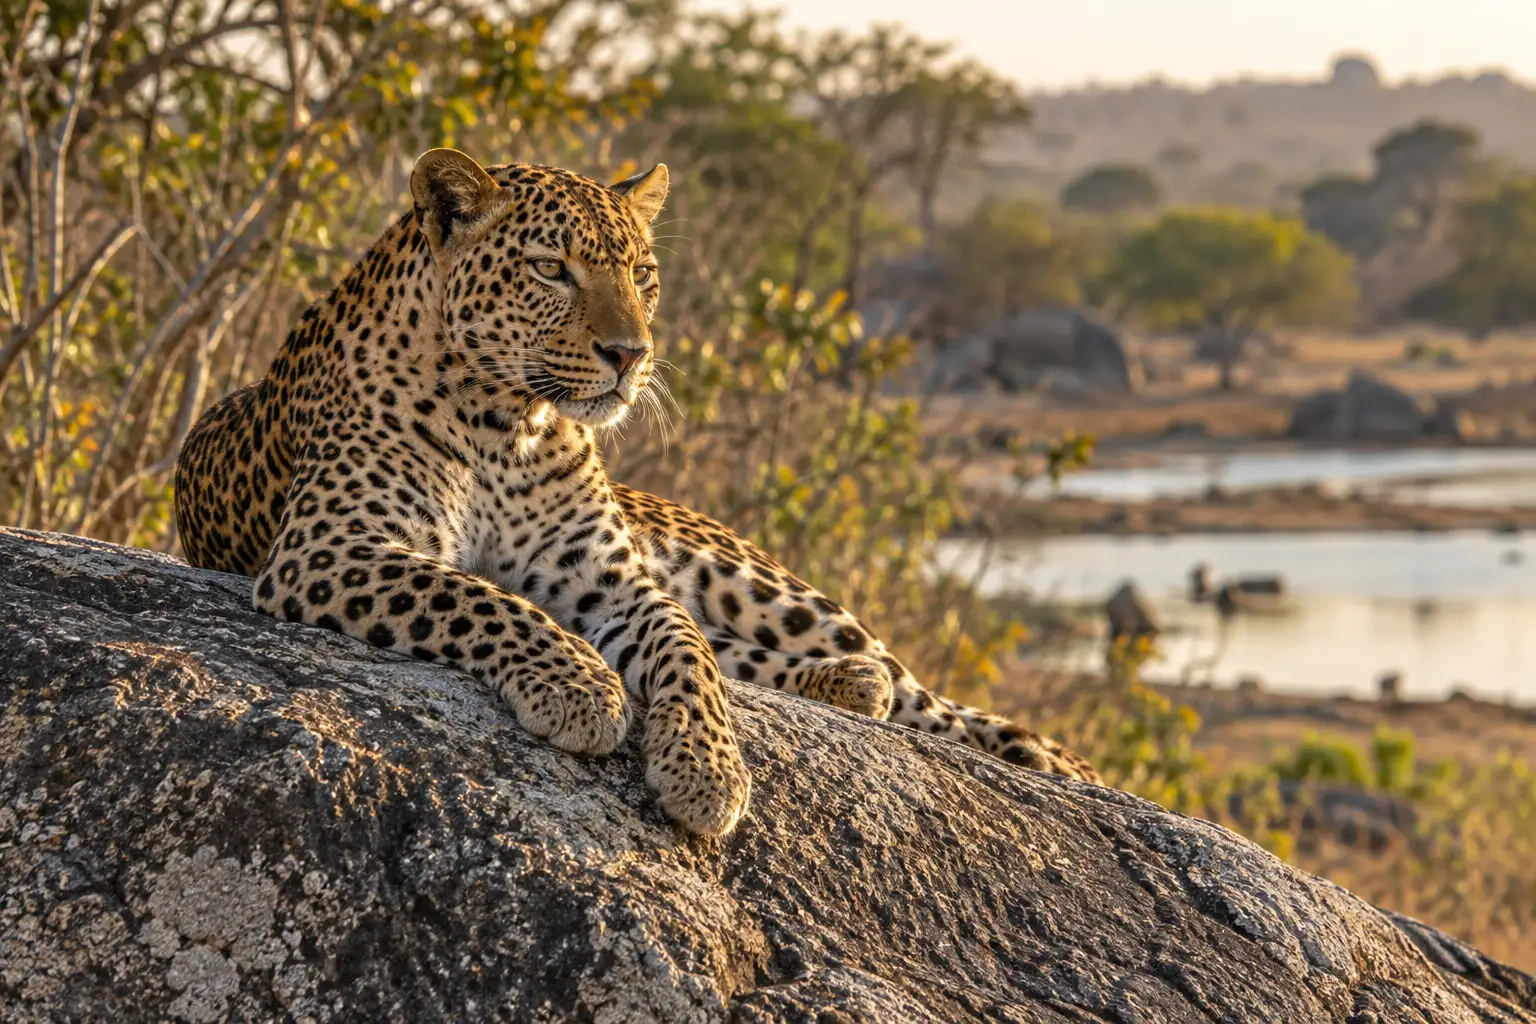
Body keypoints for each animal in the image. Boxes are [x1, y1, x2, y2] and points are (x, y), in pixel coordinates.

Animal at [173, 148, 1101, 837]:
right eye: (551, 269)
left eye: (644, 272)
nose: (631, 354)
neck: (505, 424)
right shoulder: (330, 547)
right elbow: (479, 597)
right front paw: (582, 688)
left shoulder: (612, 580)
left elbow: (685, 651)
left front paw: (707, 772)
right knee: (792, 666)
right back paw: (845, 685)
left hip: (763, 583)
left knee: (921, 694)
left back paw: (1041, 759)